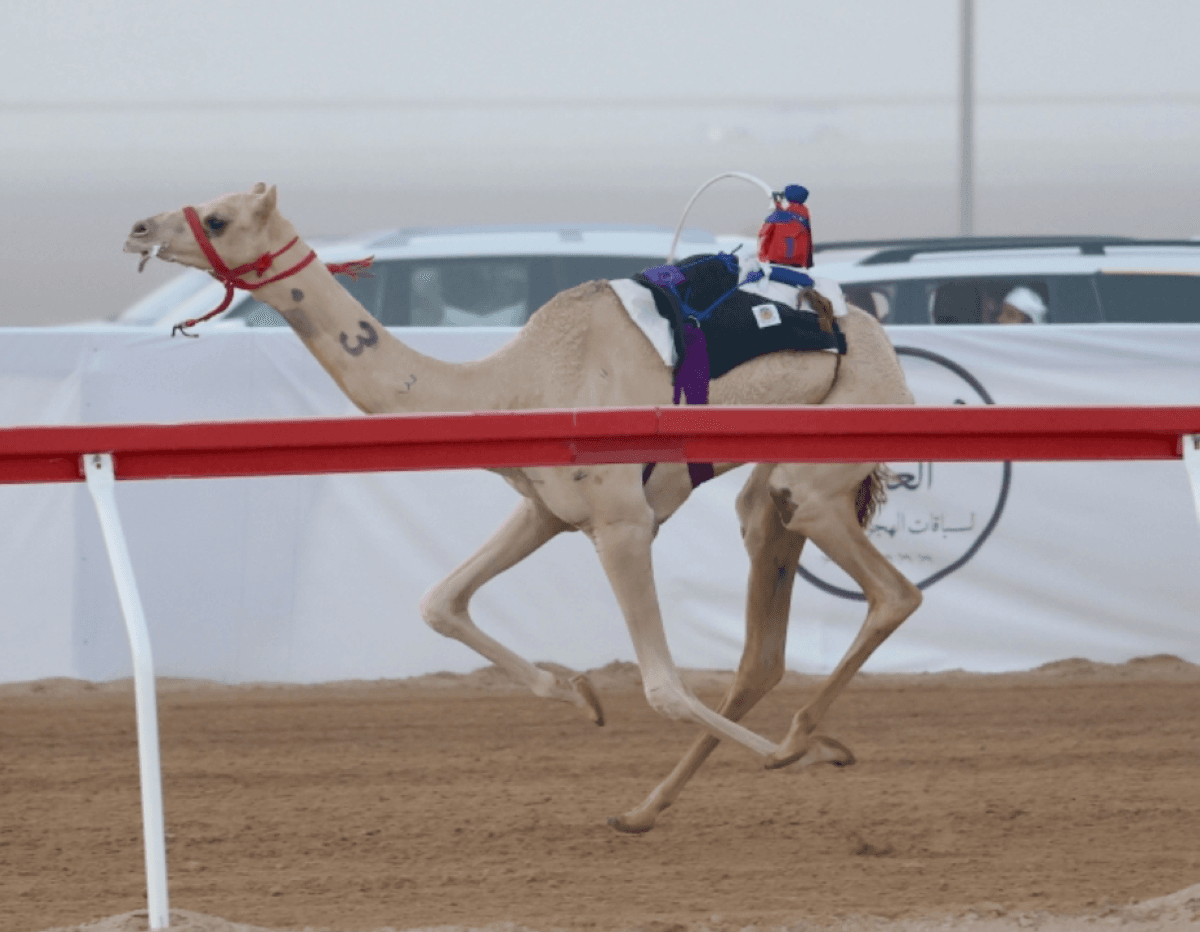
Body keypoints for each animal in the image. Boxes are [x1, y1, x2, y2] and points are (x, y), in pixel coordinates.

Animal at [125, 183, 922, 833]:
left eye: (219, 218)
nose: (136, 228)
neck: (513, 383)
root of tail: (873, 329)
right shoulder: (547, 509)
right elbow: (440, 602)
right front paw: (578, 693)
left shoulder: (623, 522)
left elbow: (662, 687)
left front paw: (806, 757)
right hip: (773, 485)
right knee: (763, 639)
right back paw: (648, 807)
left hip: (833, 450)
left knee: (893, 593)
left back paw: (807, 744)